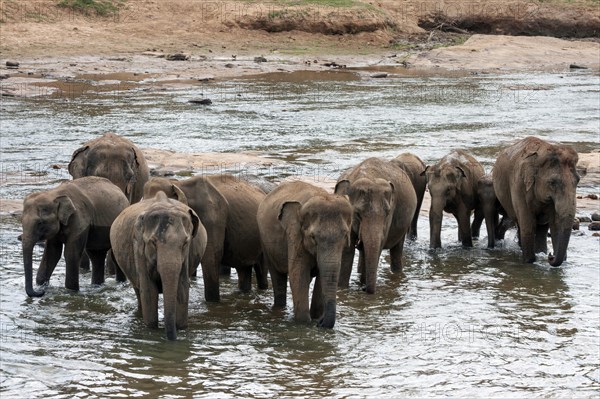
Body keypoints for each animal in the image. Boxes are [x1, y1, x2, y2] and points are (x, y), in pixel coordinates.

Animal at [110, 191, 206, 340]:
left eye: (185, 243)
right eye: (153, 243)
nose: (172, 340)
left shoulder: (187, 256)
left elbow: (182, 288)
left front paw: (181, 329)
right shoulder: (139, 248)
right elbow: (149, 291)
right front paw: (151, 331)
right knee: (139, 292)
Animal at [256, 181, 352, 328]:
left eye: (345, 235)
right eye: (313, 237)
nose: (321, 323)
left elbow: (321, 277)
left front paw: (316, 318)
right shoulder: (295, 235)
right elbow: (298, 275)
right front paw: (304, 324)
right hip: (266, 243)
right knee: (277, 275)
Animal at [332, 158, 418, 296]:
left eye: (387, 213)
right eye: (357, 213)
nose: (365, 289)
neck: (369, 175)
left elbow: (378, 247)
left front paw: (362, 286)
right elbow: (347, 249)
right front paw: (342, 288)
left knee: (396, 249)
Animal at [492, 137, 580, 266]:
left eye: (578, 180)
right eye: (553, 182)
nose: (551, 256)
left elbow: (556, 224)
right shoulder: (519, 185)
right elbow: (528, 223)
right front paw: (529, 261)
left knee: (541, 228)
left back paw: (540, 252)